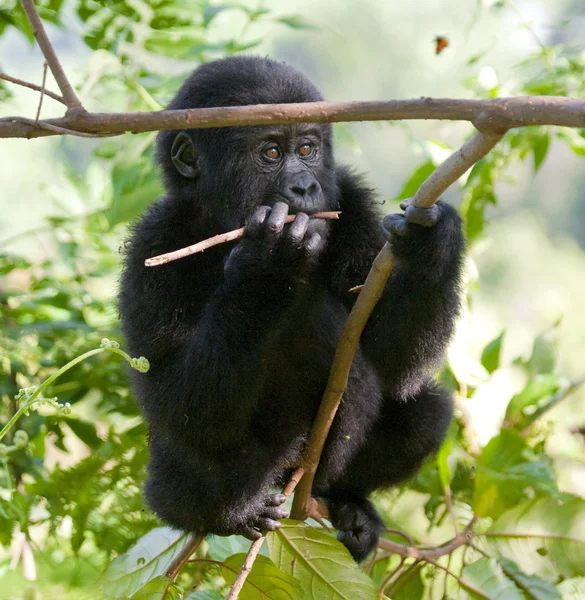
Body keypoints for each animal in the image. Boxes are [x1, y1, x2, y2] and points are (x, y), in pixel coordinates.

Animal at [120, 56, 466, 564]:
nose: (304, 186)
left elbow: (391, 362)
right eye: (270, 153)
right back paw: (225, 511)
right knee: (185, 466)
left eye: (307, 148)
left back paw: (348, 503)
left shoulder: (350, 200)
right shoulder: (154, 244)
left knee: (423, 412)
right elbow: (179, 407)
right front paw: (267, 266)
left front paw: (431, 242)